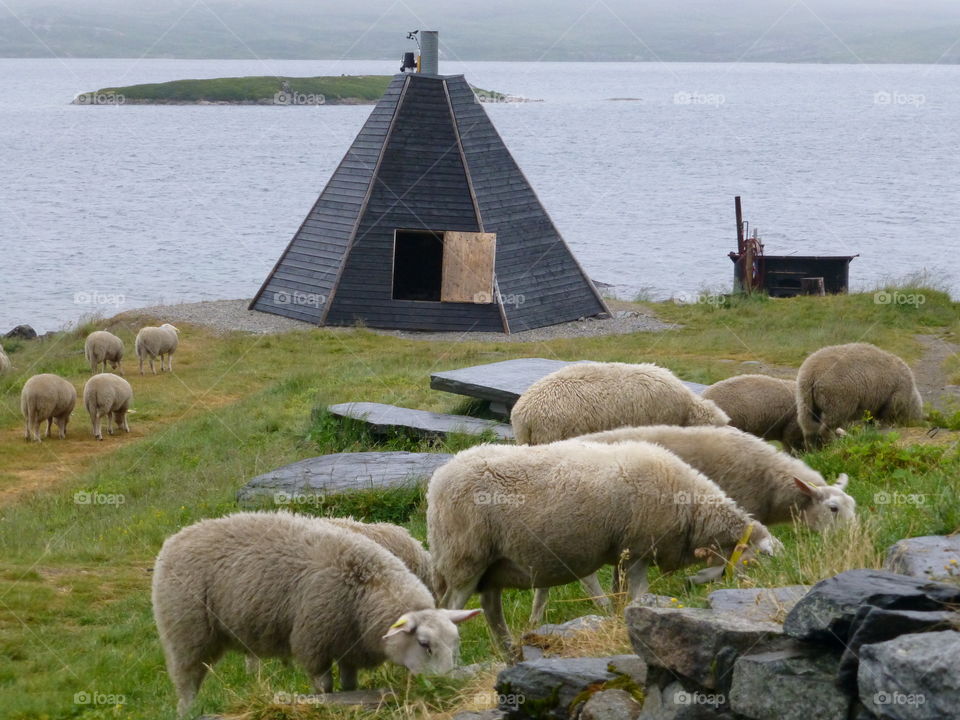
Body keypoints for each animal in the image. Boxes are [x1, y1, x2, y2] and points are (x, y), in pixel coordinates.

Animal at [152, 510, 481, 717]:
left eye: (455, 643)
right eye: (425, 644)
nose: (447, 688)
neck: (365, 590)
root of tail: (175, 539)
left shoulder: (349, 646)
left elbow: (349, 686)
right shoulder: (314, 644)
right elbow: (324, 688)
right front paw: (325, 705)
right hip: (185, 633)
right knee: (186, 686)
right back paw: (189, 712)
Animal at [427, 441, 780, 651]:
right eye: (757, 560)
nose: (759, 592)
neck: (691, 508)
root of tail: (438, 478)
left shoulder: (625, 555)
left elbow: (623, 594)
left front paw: (621, 618)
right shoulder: (636, 549)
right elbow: (636, 594)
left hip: (493, 565)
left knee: (491, 609)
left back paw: (508, 648)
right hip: (464, 557)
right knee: (449, 607)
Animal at [528, 425, 856, 621]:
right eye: (833, 508)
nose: (850, 542)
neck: (769, 481)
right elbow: (722, 564)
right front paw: (697, 579)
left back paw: (538, 617)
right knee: (585, 575)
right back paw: (602, 605)